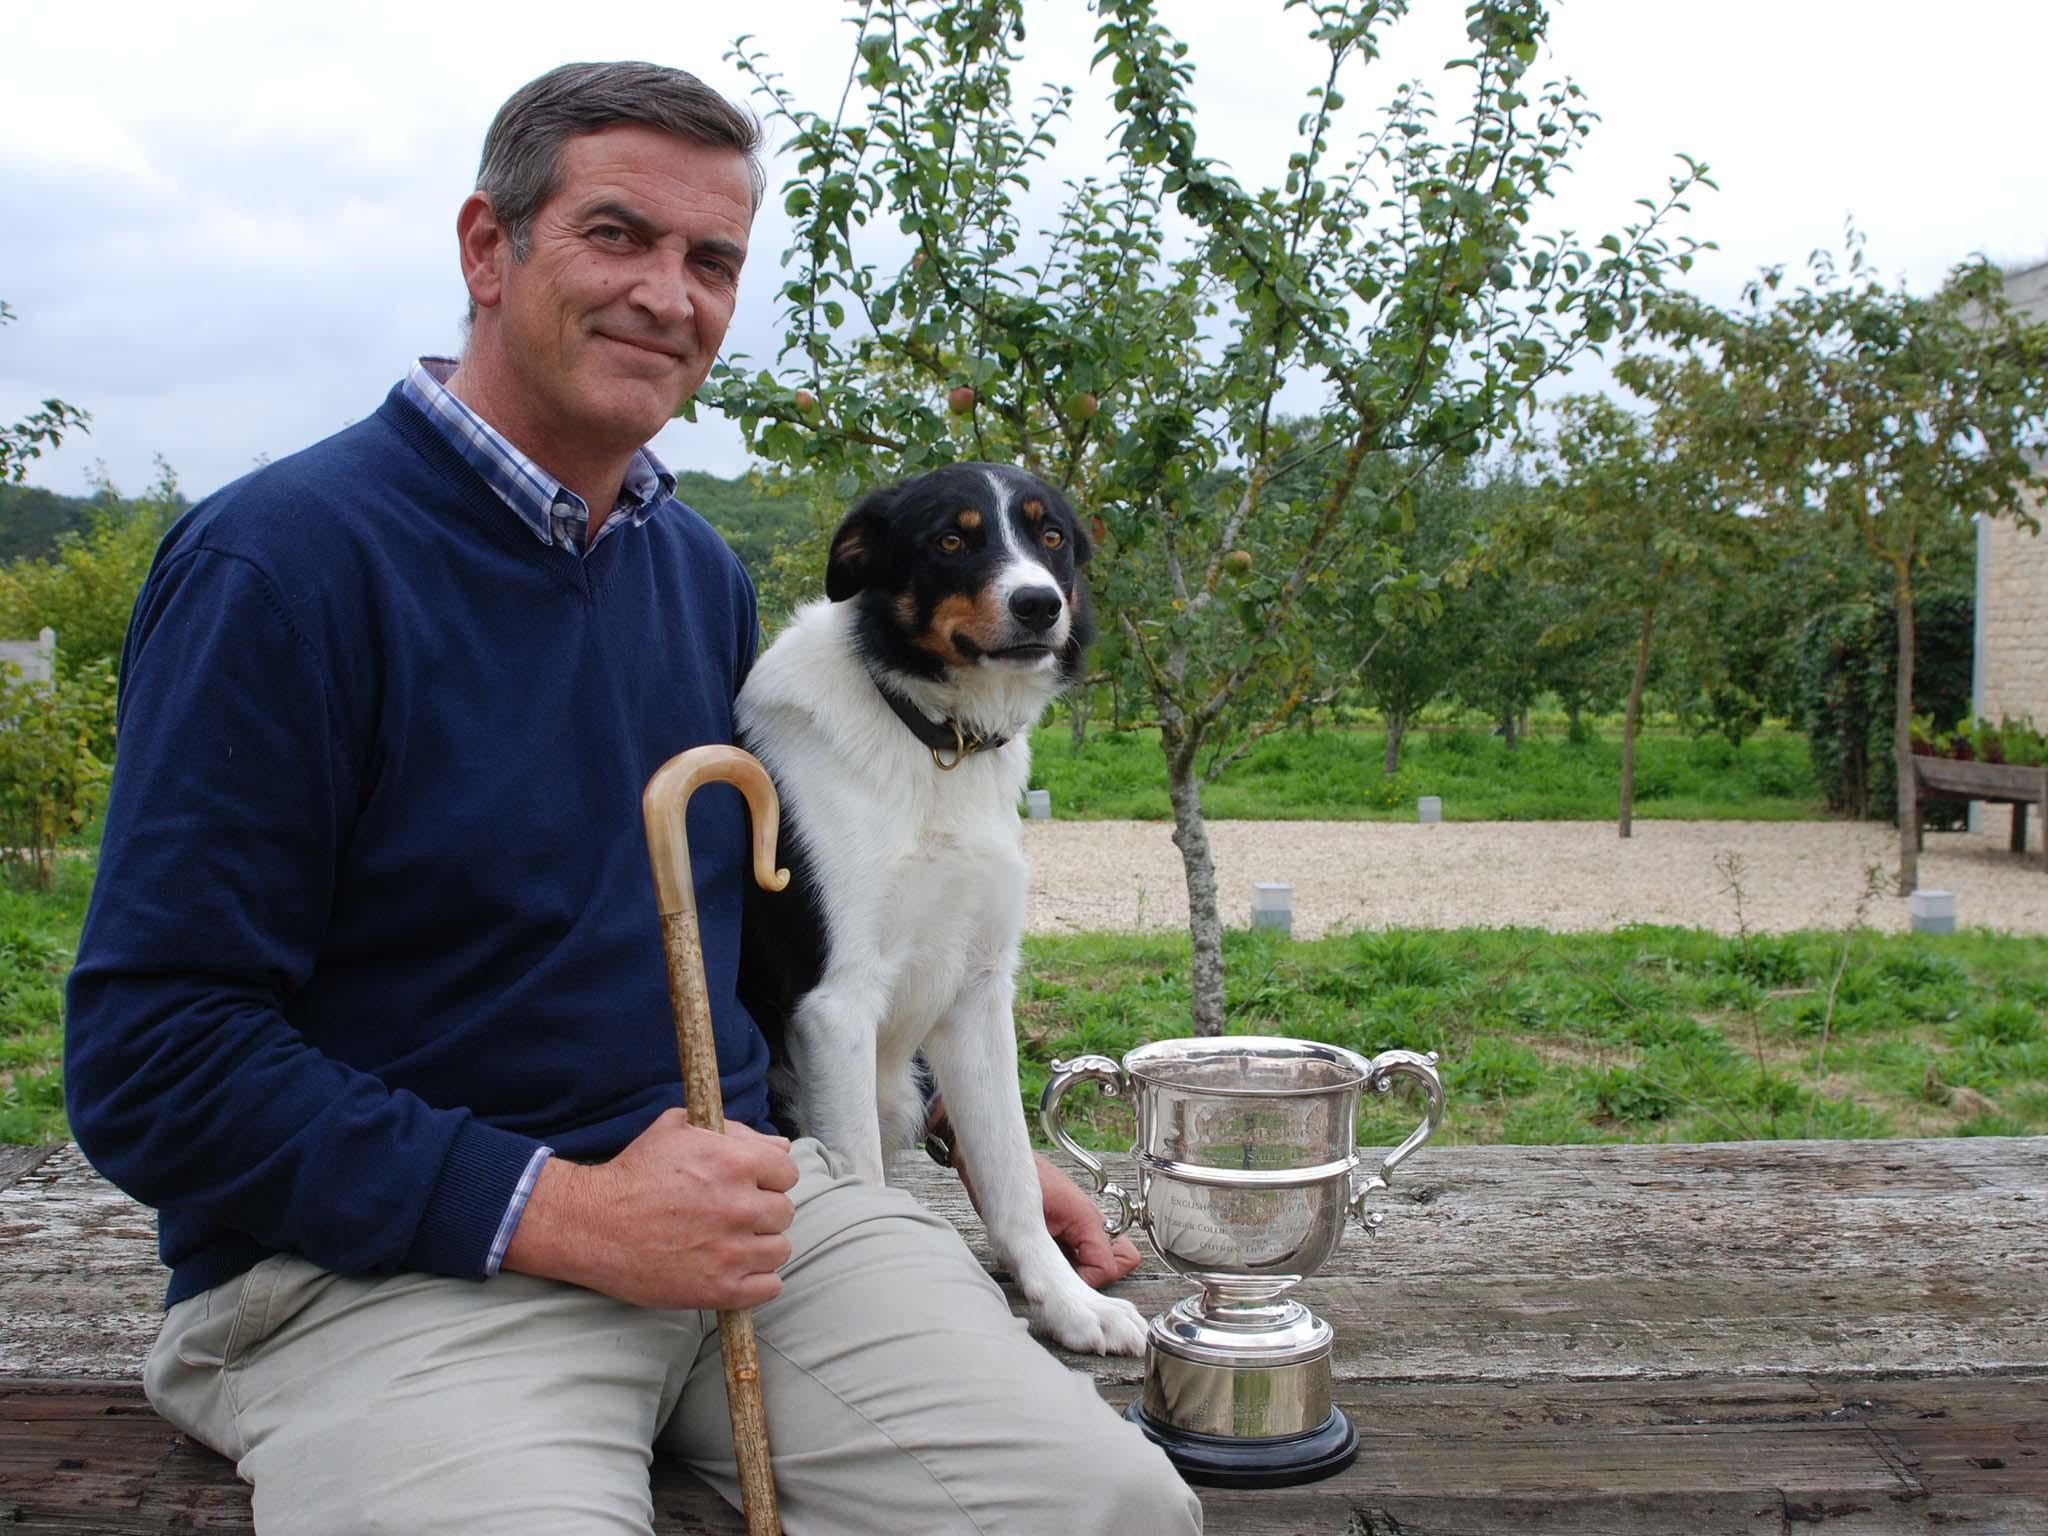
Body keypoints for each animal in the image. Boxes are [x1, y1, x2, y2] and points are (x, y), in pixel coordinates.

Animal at [737, 462, 1155, 1351]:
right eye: (952, 541)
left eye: (1050, 534)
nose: (1039, 605)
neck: (935, 744)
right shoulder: (838, 1004)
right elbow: (863, 1181)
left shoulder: (978, 992)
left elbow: (1012, 1176)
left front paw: (1069, 1301)